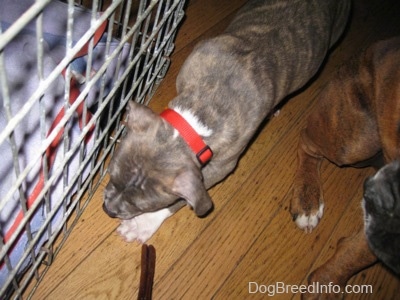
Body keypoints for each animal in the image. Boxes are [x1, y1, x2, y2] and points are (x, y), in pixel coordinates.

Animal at [102, 0, 350, 243]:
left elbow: (182, 200)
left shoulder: (219, 168)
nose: (107, 210)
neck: (199, 113)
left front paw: (143, 224)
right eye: (111, 174)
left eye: (142, 205)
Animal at [290, 36, 400, 298]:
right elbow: (360, 252)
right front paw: (323, 286)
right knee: (307, 141)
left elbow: (362, 251)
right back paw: (307, 199)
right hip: (356, 139)